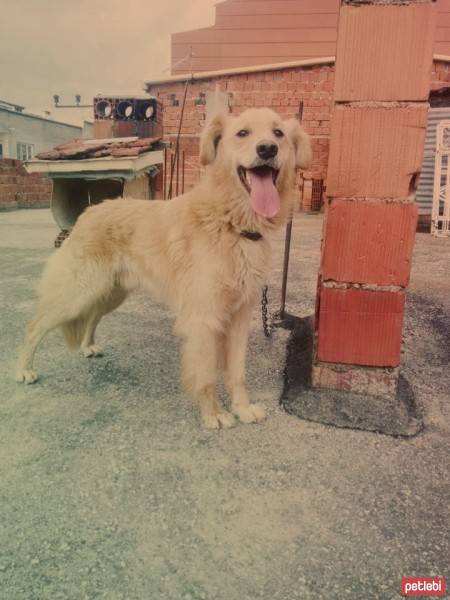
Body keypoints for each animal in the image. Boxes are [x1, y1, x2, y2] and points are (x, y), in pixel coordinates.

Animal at [14, 106, 310, 426]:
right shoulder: (204, 318)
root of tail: (89, 211)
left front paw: (242, 408)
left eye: (278, 133)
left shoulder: (240, 318)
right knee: (34, 325)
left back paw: (87, 346)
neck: (231, 222)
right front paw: (214, 414)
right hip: (77, 293)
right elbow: (206, 375)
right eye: (243, 133)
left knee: (91, 316)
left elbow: (237, 373)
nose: (267, 149)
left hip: (110, 294)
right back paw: (24, 369)